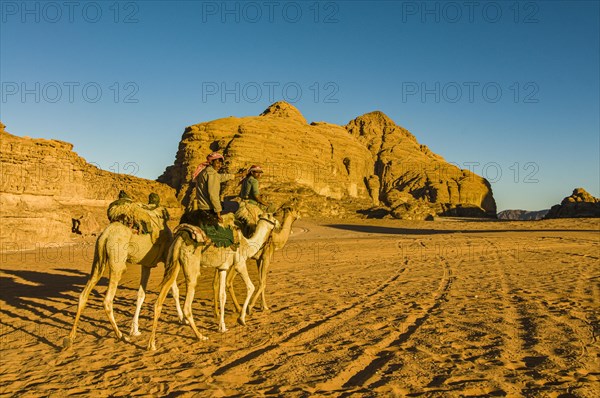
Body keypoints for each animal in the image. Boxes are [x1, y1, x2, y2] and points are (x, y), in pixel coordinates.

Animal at [63, 204, 182, 346]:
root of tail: (106, 235)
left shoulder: (146, 265)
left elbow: (141, 295)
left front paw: (135, 329)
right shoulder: (168, 260)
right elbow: (174, 290)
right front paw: (183, 319)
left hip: (98, 260)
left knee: (83, 295)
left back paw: (70, 337)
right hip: (117, 264)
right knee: (107, 300)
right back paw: (121, 336)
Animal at [146, 213, 278, 350]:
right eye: (273, 217)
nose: (278, 224)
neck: (246, 244)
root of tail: (180, 239)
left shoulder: (222, 268)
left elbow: (222, 296)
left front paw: (222, 327)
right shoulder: (240, 263)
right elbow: (250, 287)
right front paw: (241, 319)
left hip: (173, 263)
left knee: (159, 302)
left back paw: (152, 344)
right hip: (191, 267)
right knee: (187, 305)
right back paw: (200, 336)